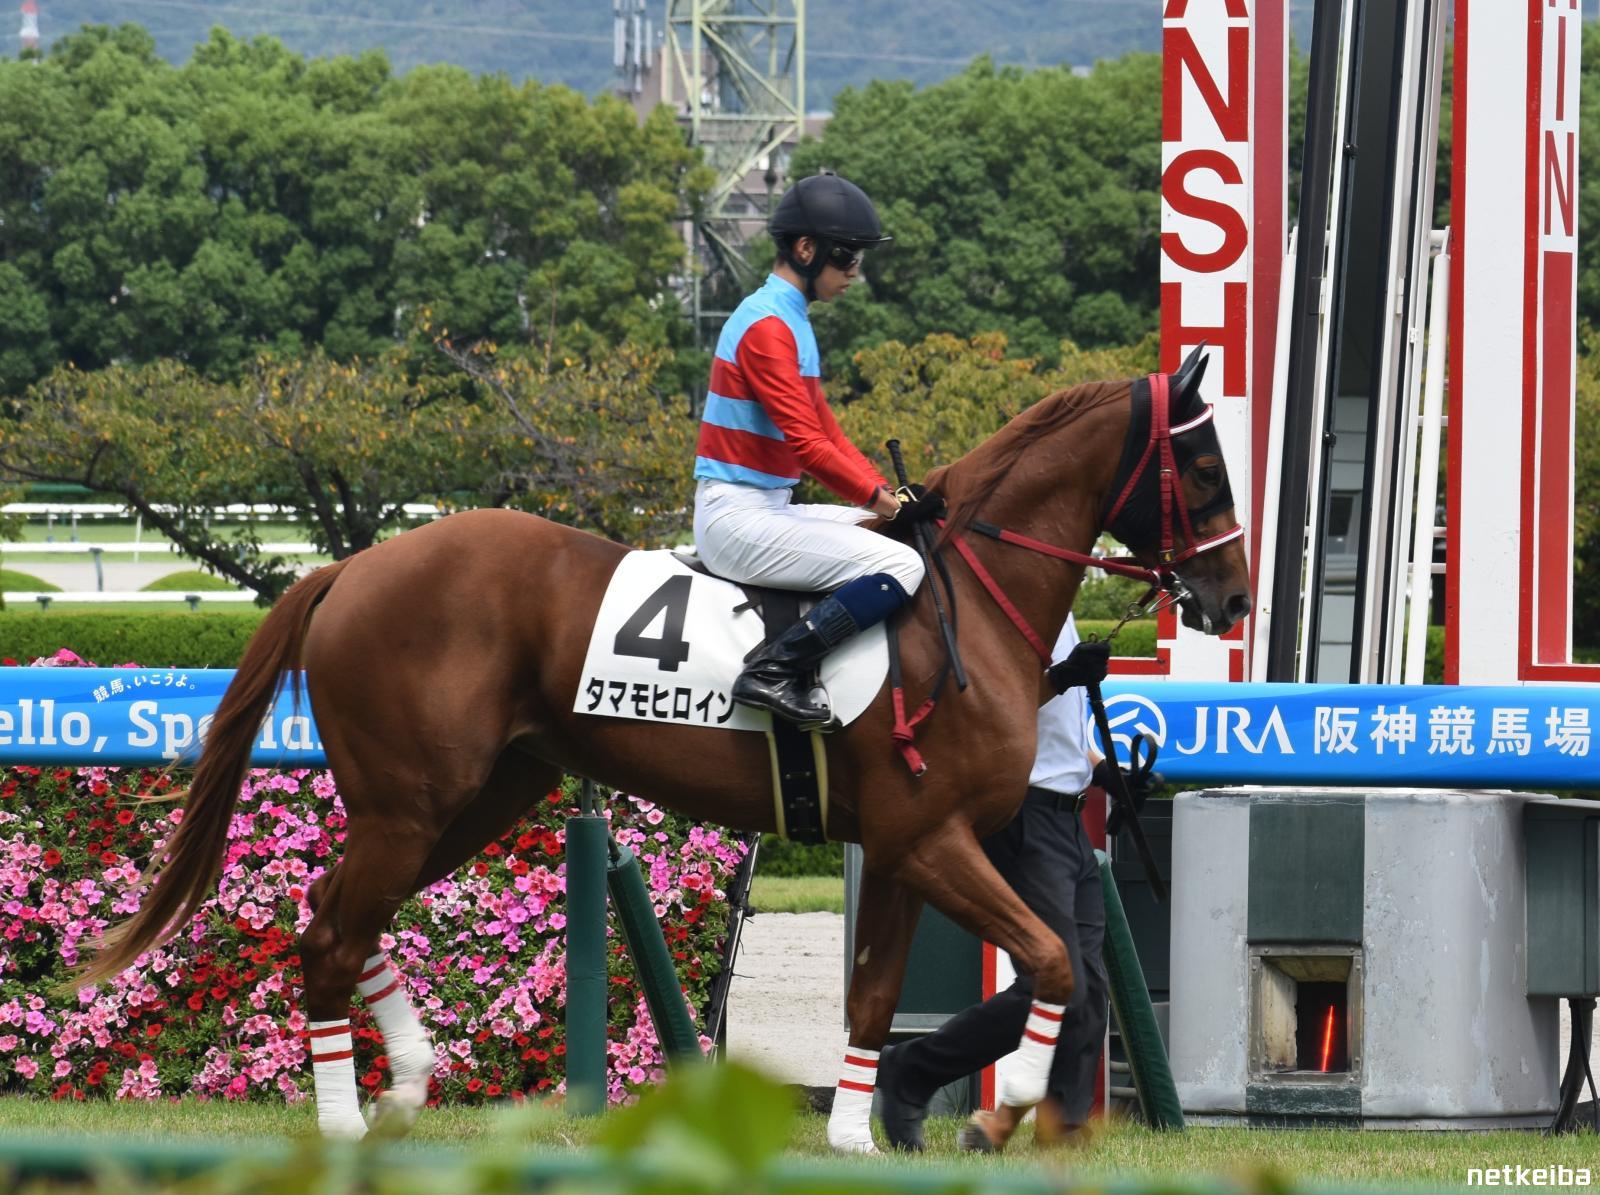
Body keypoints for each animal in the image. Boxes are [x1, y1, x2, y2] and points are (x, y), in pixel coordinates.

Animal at [80, 353, 1251, 1151]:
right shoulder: (929, 839)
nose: (1232, 597)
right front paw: (998, 1113)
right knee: (329, 933)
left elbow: (877, 996)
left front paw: (855, 1137)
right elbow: (1050, 955)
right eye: (1200, 463)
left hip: (476, 797)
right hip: (413, 804)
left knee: (338, 916)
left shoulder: (903, 846)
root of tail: (353, 569)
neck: (959, 603)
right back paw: (345, 1125)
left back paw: (408, 1081)